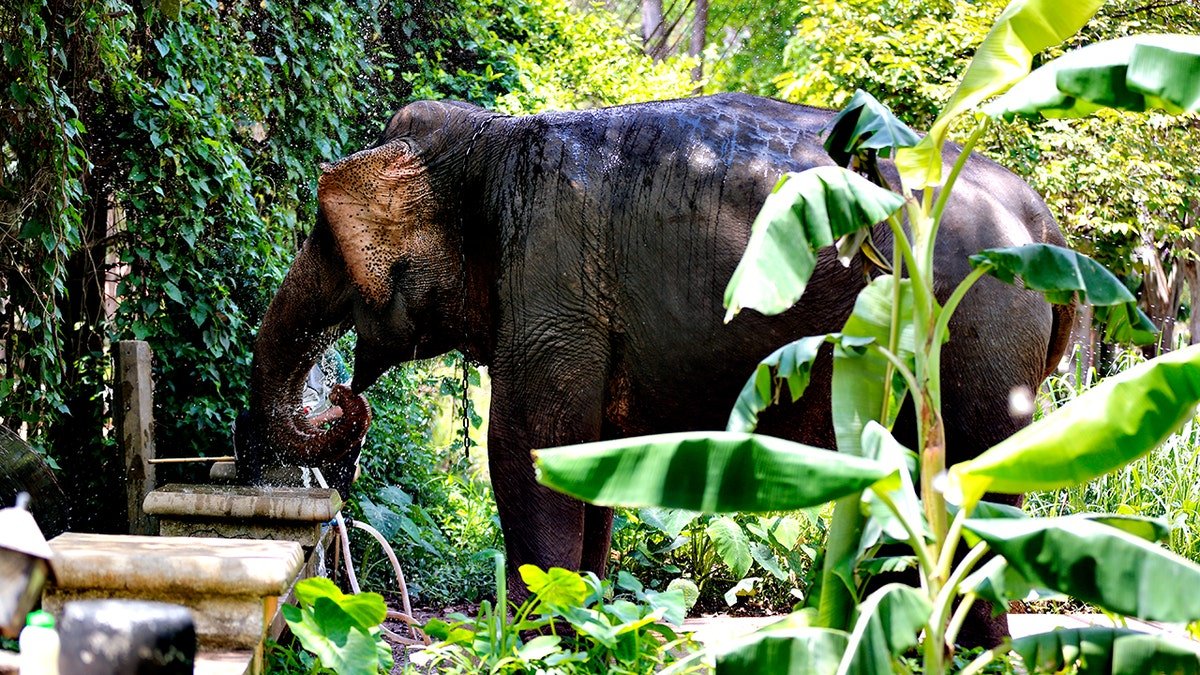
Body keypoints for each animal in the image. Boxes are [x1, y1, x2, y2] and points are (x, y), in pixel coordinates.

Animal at [241, 93, 1074, 645]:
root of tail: (1048, 226)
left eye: (324, 236)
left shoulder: (551, 280)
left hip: (976, 328)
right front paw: (582, 621)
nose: (340, 400)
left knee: (968, 485)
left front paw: (535, 634)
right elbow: (582, 457)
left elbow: (523, 449)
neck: (493, 141)